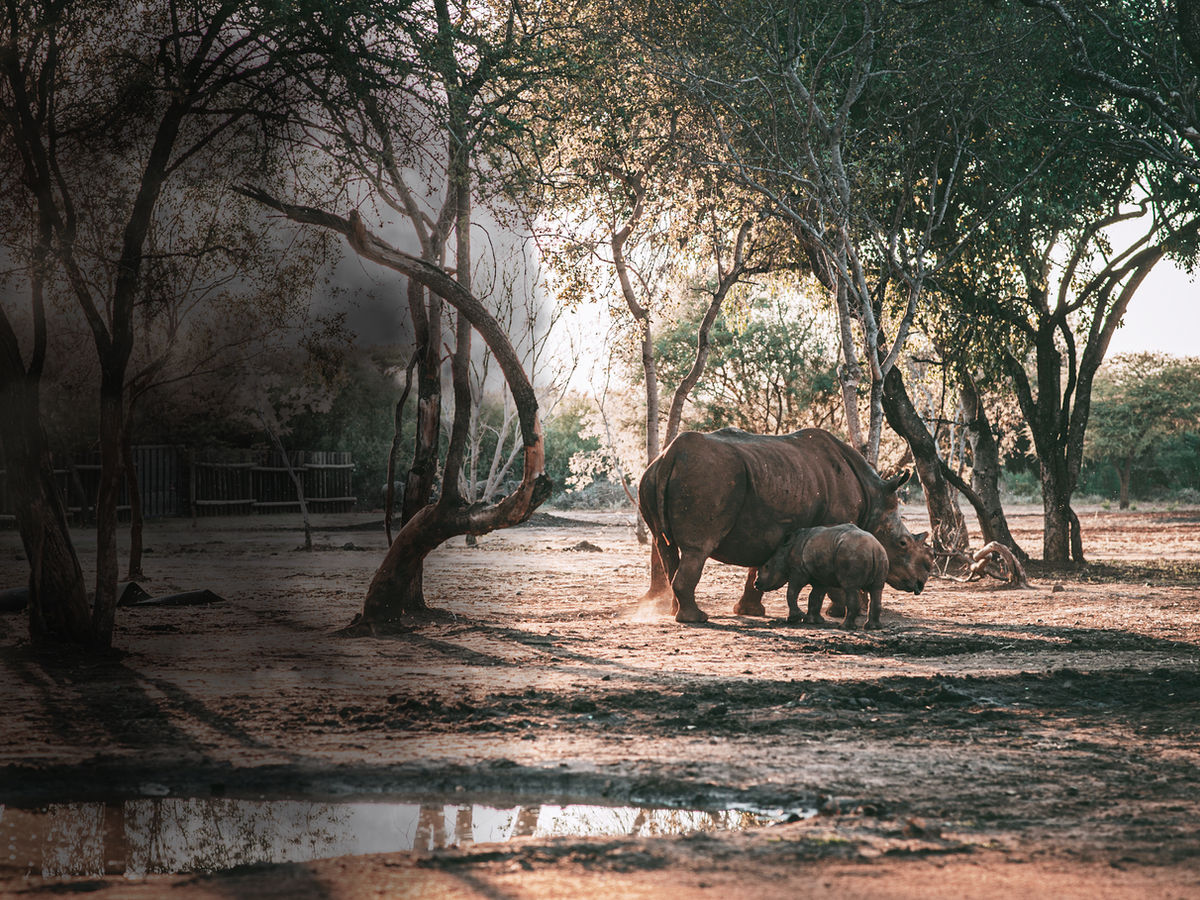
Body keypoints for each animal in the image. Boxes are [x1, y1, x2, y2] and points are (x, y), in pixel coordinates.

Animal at [753, 523, 889, 629]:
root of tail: (873, 548)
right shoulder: (821, 576)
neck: (785, 550)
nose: (756, 583)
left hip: (852, 555)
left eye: (767, 566)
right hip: (881, 556)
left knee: (850, 588)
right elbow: (815, 596)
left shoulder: (799, 571)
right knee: (877, 589)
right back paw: (872, 627)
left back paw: (844, 627)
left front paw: (794, 619)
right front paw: (813, 621)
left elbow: (792, 591)